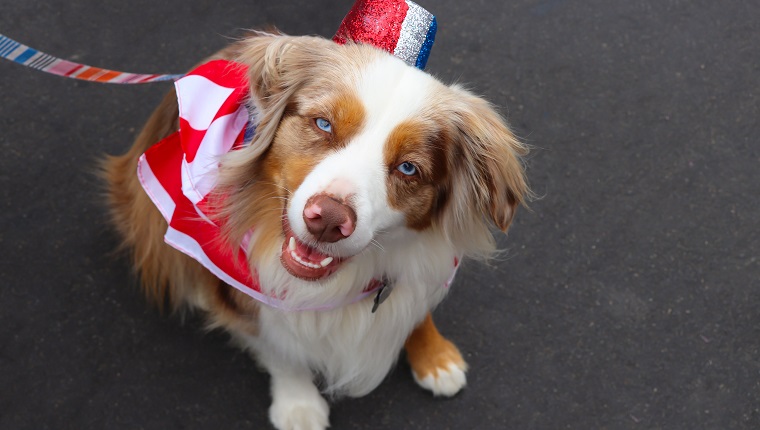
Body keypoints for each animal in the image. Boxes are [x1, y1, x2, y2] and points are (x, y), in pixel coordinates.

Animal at [102, 33, 528, 430]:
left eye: (408, 168)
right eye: (323, 124)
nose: (328, 220)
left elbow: (417, 309)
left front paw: (435, 357)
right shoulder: (247, 290)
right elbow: (280, 348)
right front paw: (298, 404)